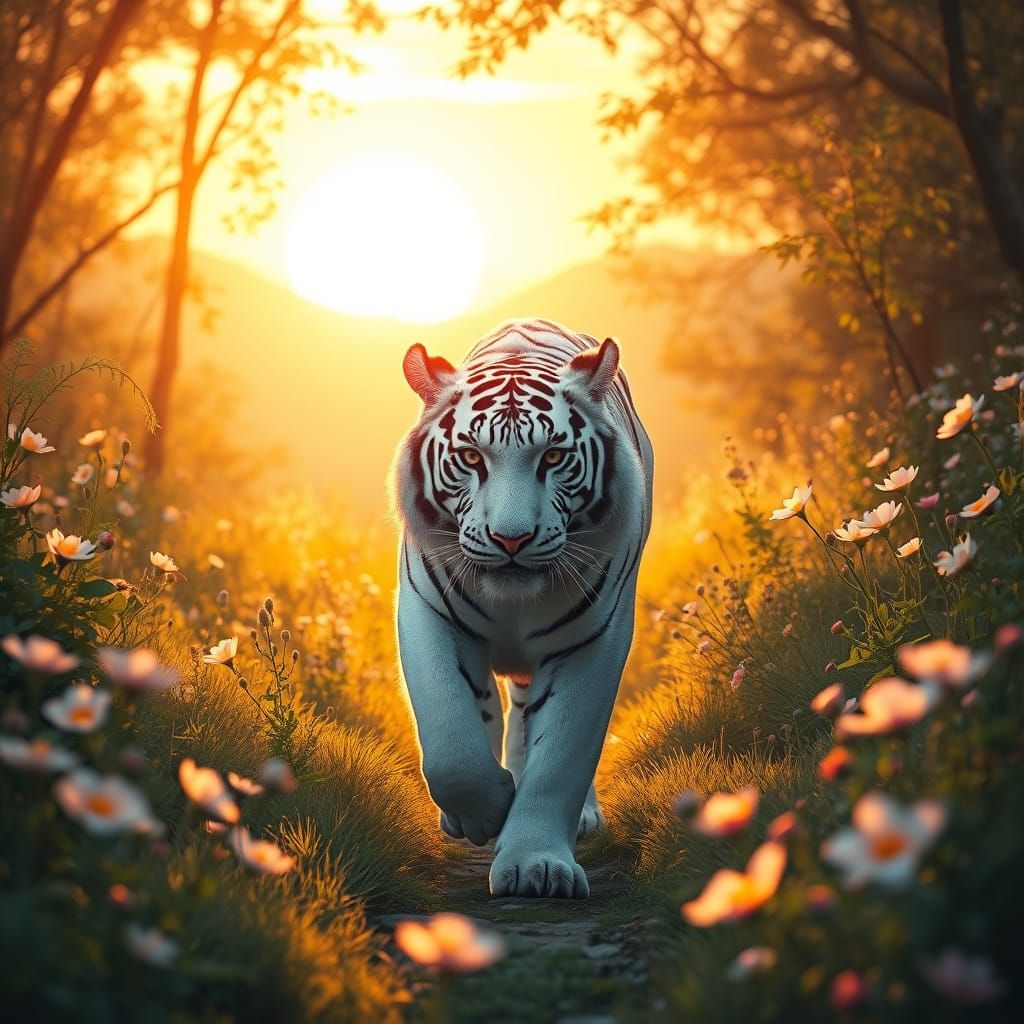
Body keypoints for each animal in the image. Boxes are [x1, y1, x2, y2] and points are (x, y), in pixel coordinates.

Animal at [391, 317, 653, 899]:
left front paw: (537, 865)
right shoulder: (428, 610)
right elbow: (452, 742)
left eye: (553, 457)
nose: (510, 539)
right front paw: (485, 812)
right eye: (471, 457)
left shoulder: (593, 640)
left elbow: (561, 757)